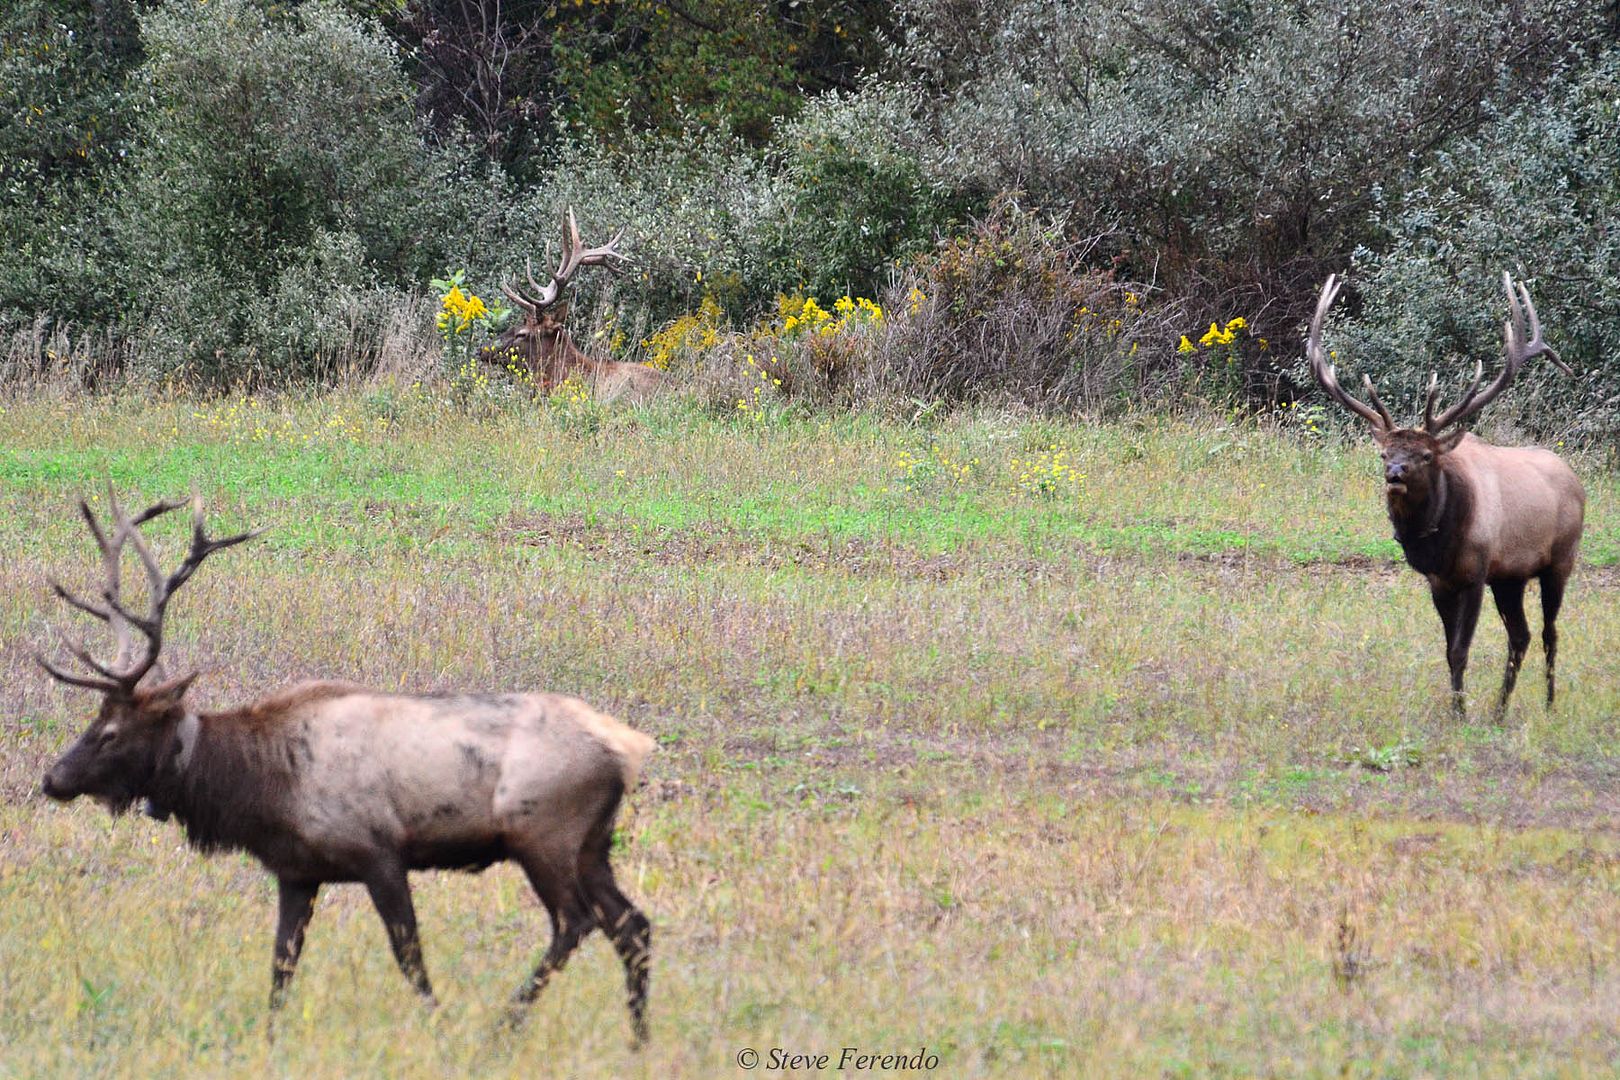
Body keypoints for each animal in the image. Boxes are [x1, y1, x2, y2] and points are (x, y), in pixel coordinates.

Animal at [36, 489, 656, 1043]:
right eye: (94, 720)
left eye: (110, 732)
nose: (53, 779)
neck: (261, 787)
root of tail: (628, 747)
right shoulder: (296, 871)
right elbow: (281, 966)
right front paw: (269, 1041)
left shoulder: (379, 853)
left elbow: (409, 957)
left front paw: (440, 1028)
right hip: (592, 844)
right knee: (633, 925)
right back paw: (636, 1039)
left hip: (543, 834)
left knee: (576, 922)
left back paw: (502, 1027)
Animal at [1306, 271, 1585, 717]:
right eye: (1384, 452)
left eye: (1425, 455)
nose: (1395, 474)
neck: (1441, 539)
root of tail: (1575, 479)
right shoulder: (1439, 581)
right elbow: (1448, 652)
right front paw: (1460, 708)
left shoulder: (1475, 573)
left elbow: (1460, 650)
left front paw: (1459, 714)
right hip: (1511, 576)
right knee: (1521, 636)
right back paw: (1499, 711)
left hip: (1560, 561)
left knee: (1549, 633)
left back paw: (1548, 704)